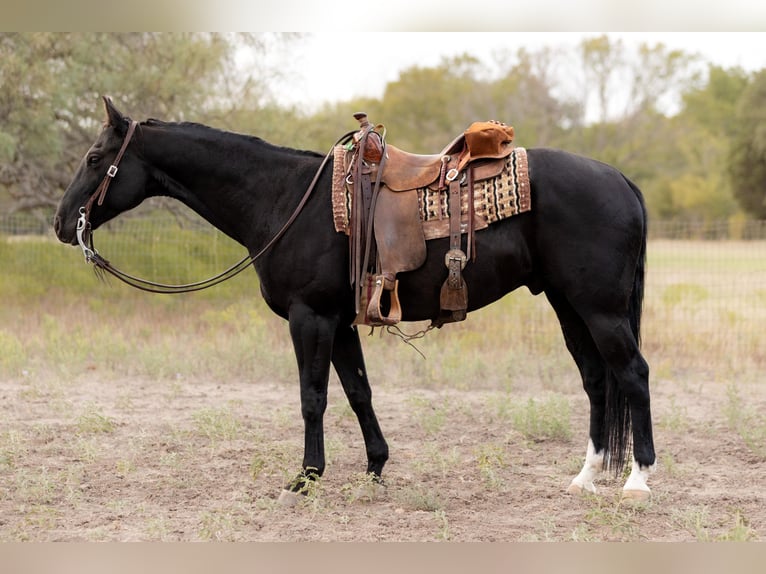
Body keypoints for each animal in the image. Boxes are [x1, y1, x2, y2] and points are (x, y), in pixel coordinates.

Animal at [54, 98, 656, 504]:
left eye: (94, 157)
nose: (62, 223)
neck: (284, 199)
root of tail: (622, 181)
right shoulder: (339, 322)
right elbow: (358, 392)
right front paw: (374, 468)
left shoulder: (311, 318)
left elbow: (313, 398)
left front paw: (305, 478)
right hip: (568, 305)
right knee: (596, 379)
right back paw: (585, 477)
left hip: (600, 309)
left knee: (632, 375)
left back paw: (638, 480)